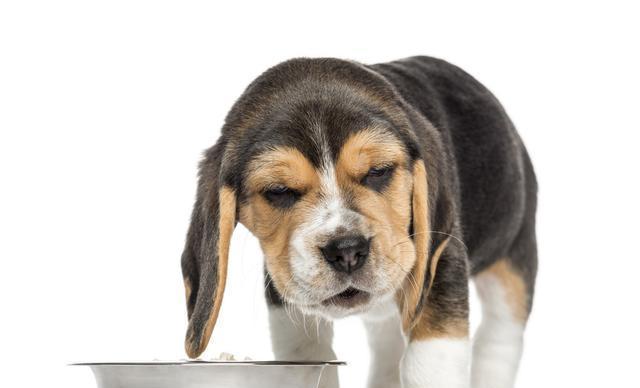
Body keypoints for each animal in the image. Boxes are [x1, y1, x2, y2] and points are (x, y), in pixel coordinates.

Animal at [179, 55, 536, 388]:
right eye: (279, 191)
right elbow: (304, 355)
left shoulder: (441, 256)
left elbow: (428, 363)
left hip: (514, 256)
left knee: (499, 338)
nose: (347, 250)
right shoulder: (282, 292)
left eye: (378, 171)